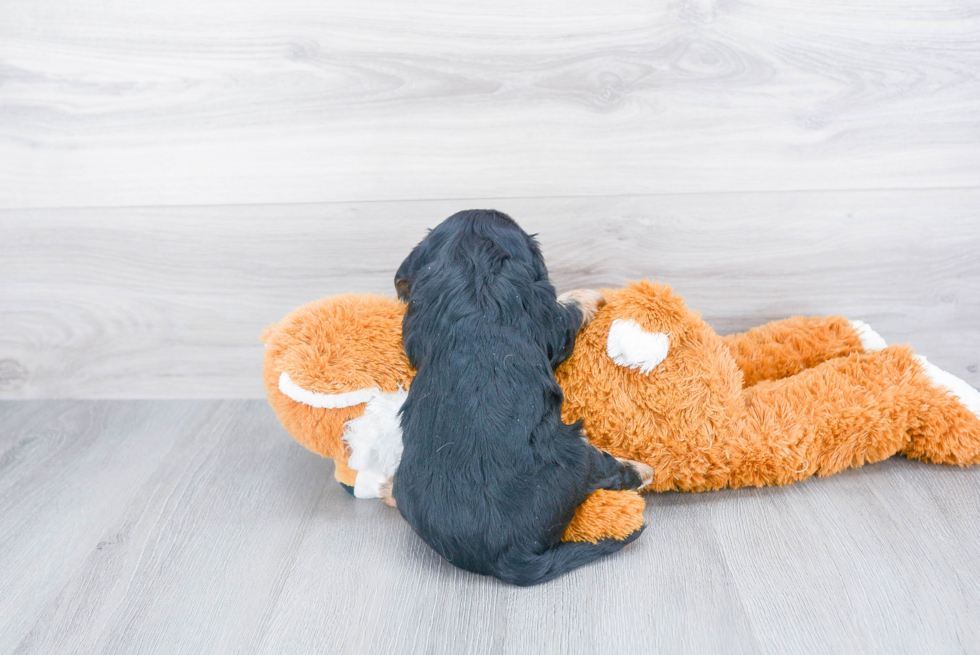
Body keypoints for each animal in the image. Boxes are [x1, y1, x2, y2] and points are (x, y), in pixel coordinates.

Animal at [390, 211, 652, 588]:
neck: (475, 279)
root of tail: (505, 558)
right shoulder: (549, 320)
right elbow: (569, 310)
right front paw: (592, 294)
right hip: (572, 457)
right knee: (605, 471)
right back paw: (642, 469)